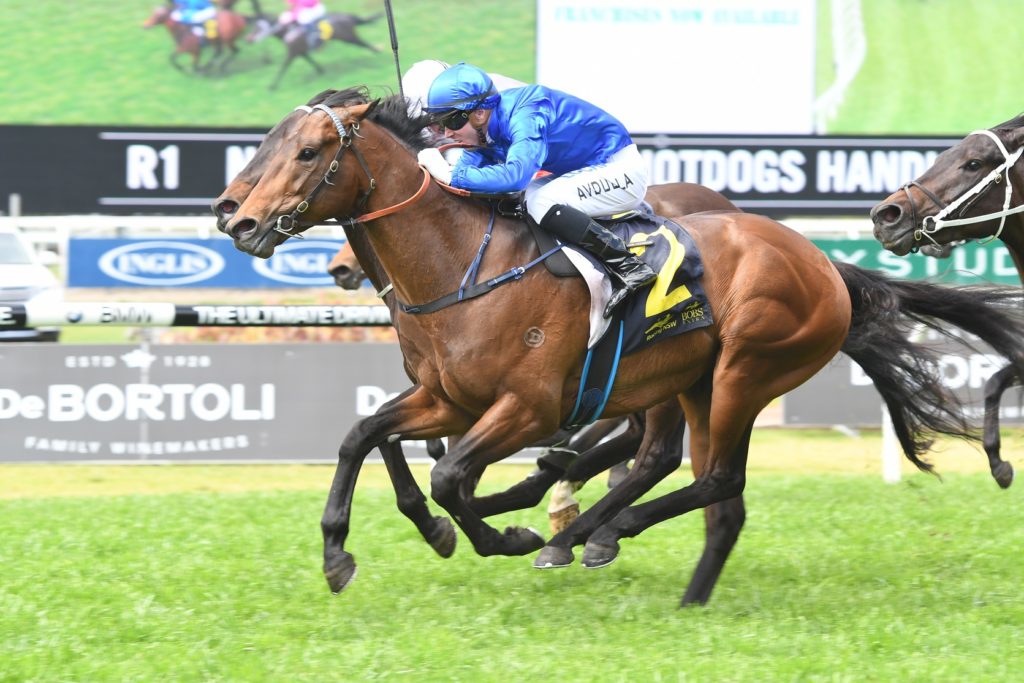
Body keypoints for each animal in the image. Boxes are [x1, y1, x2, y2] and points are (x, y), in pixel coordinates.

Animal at [247, 12, 382, 90]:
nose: (249, 39)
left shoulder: (292, 53)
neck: (289, 30)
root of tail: (347, 16)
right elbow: (311, 61)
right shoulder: (301, 52)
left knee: (364, 44)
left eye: (258, 28)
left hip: (349, 37)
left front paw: (272, 86)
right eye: (254, 27)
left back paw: (379, 52)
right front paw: (321, 70)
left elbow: (282, 68)